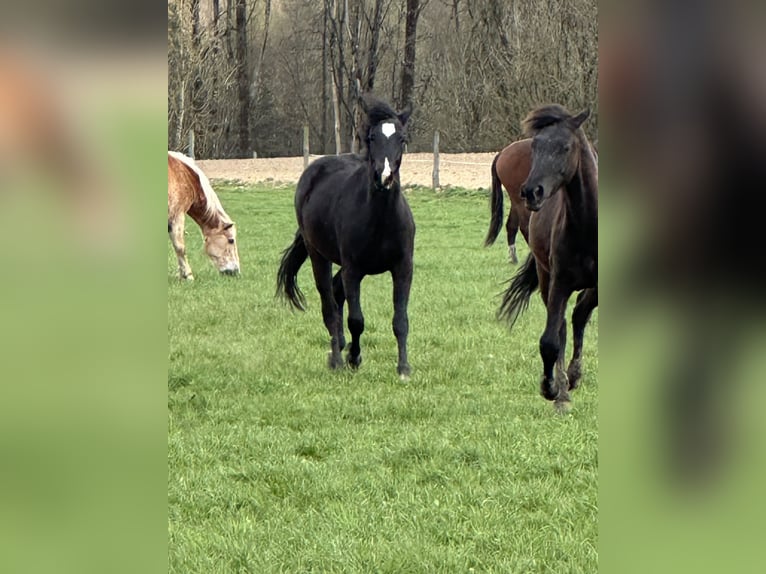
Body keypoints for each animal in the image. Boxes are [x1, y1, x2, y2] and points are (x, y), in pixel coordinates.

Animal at [276, 94, 414, 377]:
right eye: (371, 137)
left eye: (402, 138)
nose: (384, 177)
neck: (382, 219)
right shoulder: (353, 270)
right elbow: (356, 320)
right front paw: (352, 358)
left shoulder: (403, 268)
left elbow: (400, 320)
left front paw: (403, 368)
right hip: (319, 256)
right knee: (329, 304)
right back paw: (338, 358)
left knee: (336, 293)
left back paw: (339, 347)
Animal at [497, 105, 598, 410]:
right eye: (536, 146)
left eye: (565, 147)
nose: (532, 191)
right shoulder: (559, 283)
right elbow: (550, 341)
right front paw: (552, 388)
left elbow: (580, 315)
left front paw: (570, 378)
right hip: (545, 279)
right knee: (563, 326)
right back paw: (564, 386)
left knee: (577, 315)